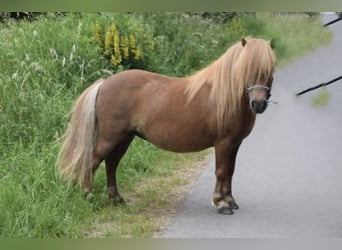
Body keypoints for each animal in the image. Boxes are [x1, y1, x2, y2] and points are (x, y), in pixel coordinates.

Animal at [56, 37, 276, 215]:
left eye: (270, 70)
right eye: (246, 69)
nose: (258, 104)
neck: (225, 96)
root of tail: (104, 83)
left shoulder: (235, 144)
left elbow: (230, 171)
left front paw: (230, 201)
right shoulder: (223, 144)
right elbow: (221, 171)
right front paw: (221, 204)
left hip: (125, 138)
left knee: (111, 164)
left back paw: (116, 198)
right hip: (110, 138)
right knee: (93, 161)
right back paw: (87, 195)